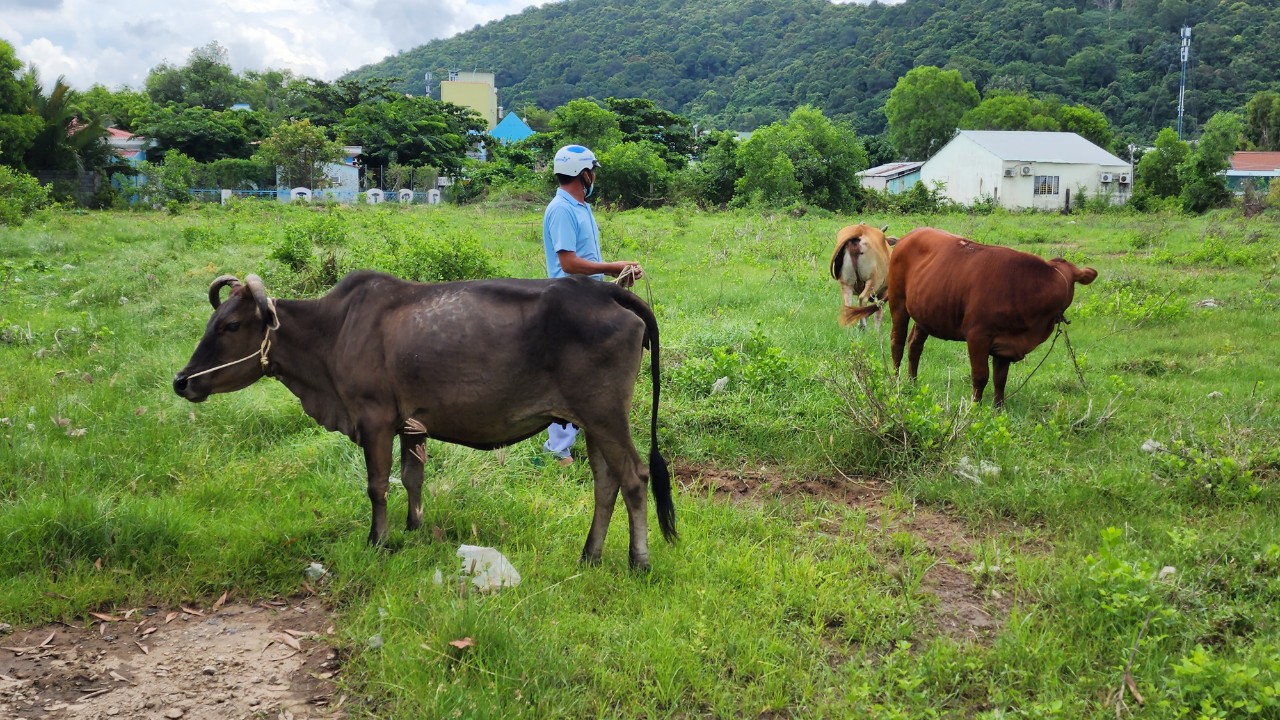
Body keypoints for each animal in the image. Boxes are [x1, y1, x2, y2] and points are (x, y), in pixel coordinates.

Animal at [177, 271, 680, 568]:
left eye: (230, 326)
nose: (182, 381)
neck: (333, 331)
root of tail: (606, 290)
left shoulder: (375, 419)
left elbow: (378, 485)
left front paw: (378, 540)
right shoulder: (410, 425)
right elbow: (412, 477)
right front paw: (414, 528)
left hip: (606, 415)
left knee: (634, 477)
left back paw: (638, 561)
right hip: (592, 421)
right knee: (605, 482)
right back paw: (589, 555)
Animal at [844, 225, 1095, 404]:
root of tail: (909, 236)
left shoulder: (1006, 344)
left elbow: (1000, 379)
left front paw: (998, 409)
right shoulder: (978, 336)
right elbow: (981, 375)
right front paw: (975, 408)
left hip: (926, 310)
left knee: (915, 345)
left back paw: (912, 383)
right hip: (899, 304)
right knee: (897, 341)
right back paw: (896, 380)